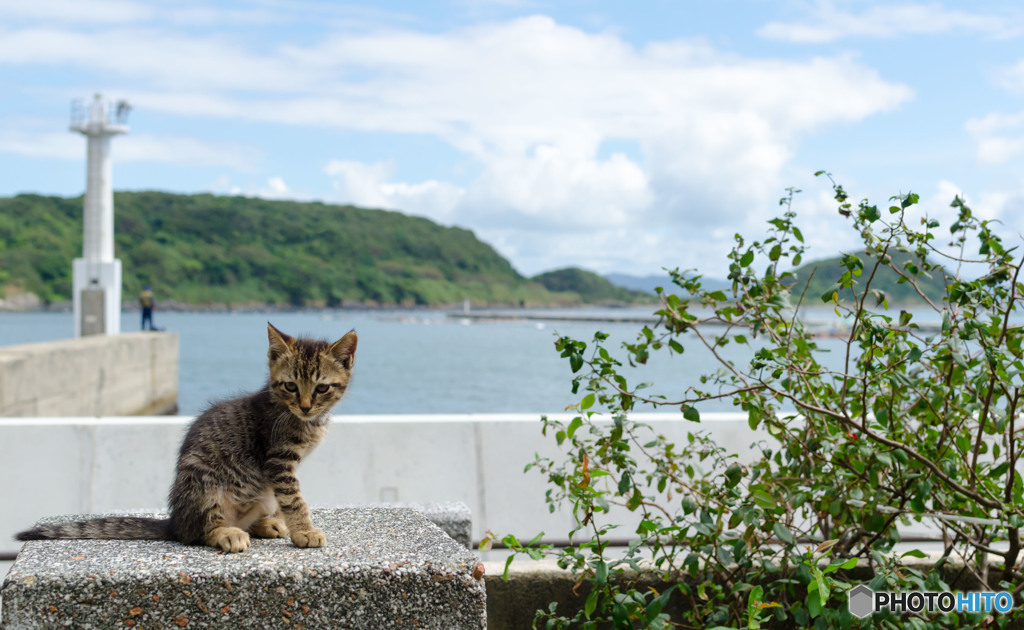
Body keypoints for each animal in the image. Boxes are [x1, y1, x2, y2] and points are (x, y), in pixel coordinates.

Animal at [14, 325, 360, 553]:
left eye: (322, 388)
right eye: (290, 386)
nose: (305, 405)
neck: (300, 418)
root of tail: (176, 521)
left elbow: (287, 499)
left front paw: (292, 526)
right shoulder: (278, 460)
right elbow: (293, 498)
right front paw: (305, 531)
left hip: (258, 495)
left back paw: (264, 524)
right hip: (204, 480)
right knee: (199, 532)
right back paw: (226, 533)